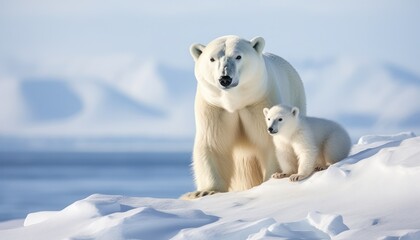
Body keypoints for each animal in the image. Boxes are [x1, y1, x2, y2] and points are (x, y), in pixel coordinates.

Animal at [182, 34, 306, 199]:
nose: (225, 78)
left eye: (238, 56)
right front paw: (205, 191)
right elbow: (213, 144)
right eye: (212, 59)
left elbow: (270, 143)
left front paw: (271, 180)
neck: (235, 102)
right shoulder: (215, 108)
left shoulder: (260, 102)